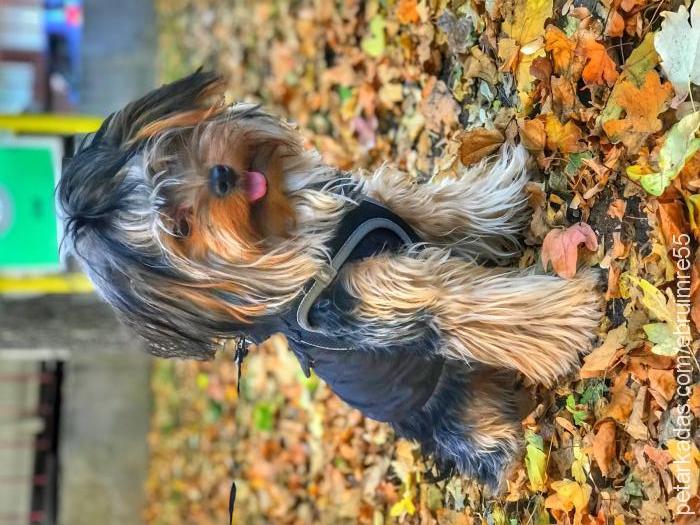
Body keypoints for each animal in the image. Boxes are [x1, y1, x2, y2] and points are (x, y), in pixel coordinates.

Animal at [58, 71, 600, 490]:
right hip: (463, 418)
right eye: (181, 228)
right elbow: (456, 303)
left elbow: (437, 208)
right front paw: (565, 319)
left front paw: (497, 197)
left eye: (173, 155)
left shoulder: (387, 210)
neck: (309, 233)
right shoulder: (375, 298)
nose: (221, 177)